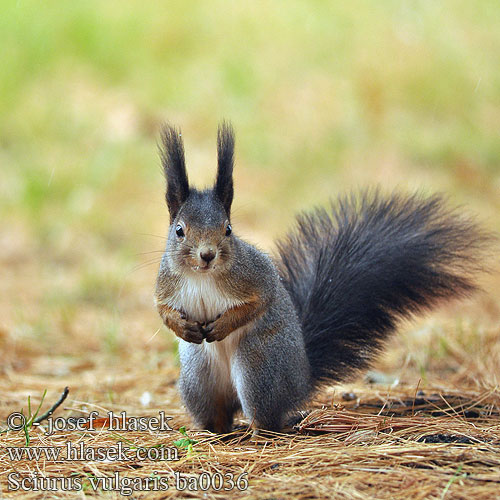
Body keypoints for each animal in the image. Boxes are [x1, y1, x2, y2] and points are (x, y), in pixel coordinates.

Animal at [155, 121, 492, 434]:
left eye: (227, 230)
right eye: (179, 230)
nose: (207, 255)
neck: (203, 277)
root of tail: (301, 381)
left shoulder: (255, 276)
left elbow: (260, 302)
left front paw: (224, 324)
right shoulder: (165, 284)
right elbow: (163, 310)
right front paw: (182, 327)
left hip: (259, 369)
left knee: (267, 416)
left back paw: (258, 432)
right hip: (198, 379)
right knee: (217, 414)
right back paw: (210, 432)